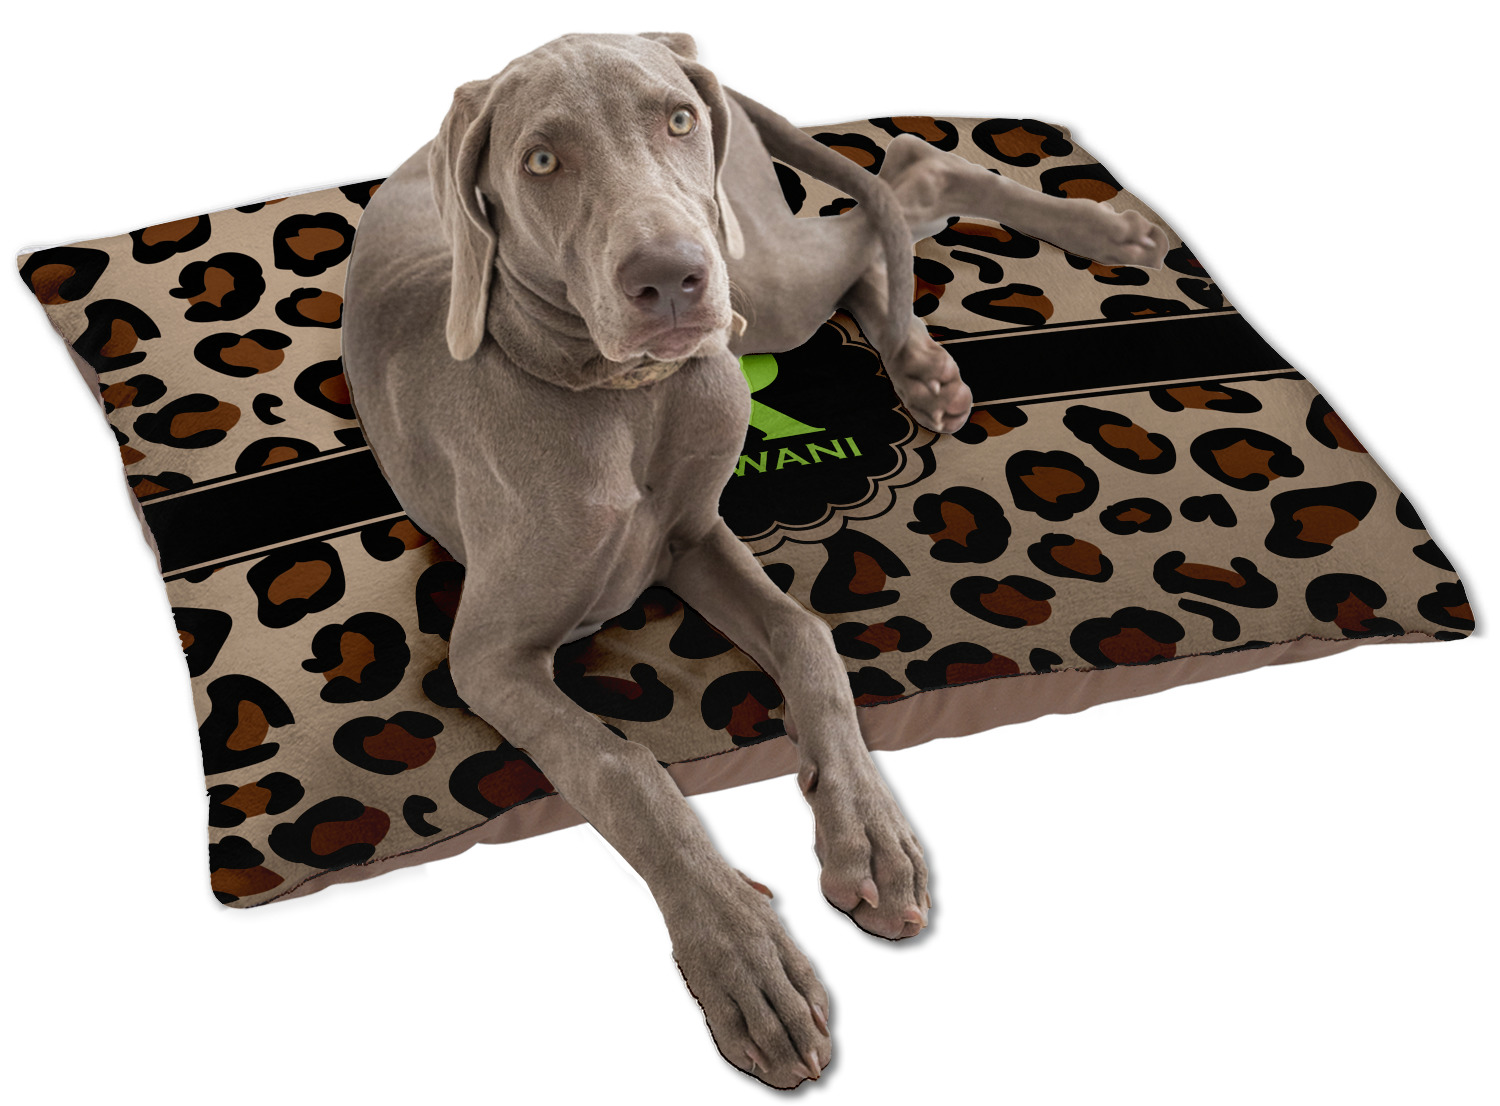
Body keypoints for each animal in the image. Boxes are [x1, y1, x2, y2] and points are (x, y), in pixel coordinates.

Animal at [342, 31, 1168, 1088]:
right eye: (540, 161)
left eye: (675, 121)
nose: (670, 279)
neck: (624, 399)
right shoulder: (489, 657)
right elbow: (623, 770)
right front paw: (743, 960)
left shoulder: (697, 539)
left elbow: (807, 635)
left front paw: (871, 835)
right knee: (885, 209)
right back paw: (935, 358)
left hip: (756, 277)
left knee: (900, 175)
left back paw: (1094, 242)